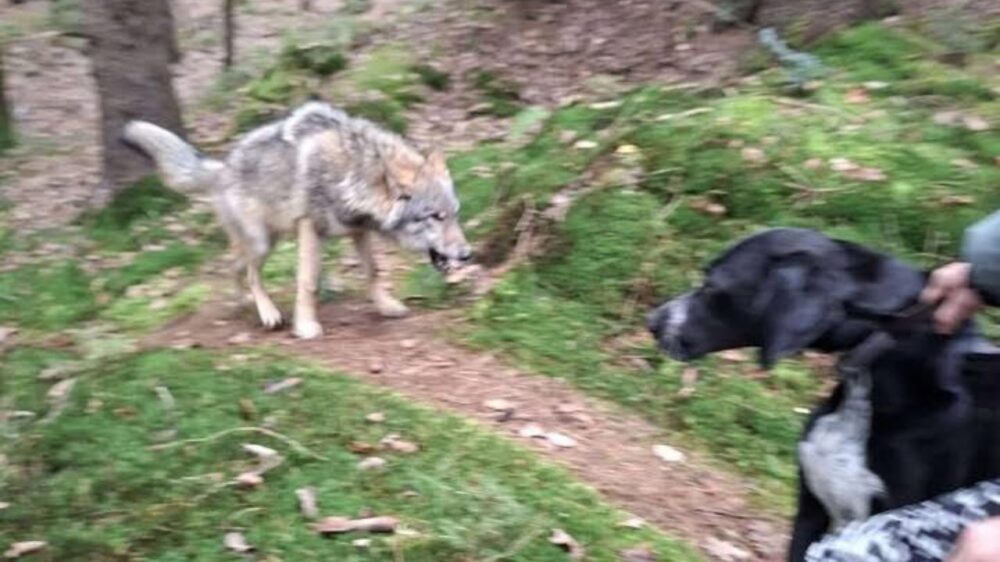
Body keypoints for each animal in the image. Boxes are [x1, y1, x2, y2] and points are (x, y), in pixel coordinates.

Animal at [123, 101, 471, 339]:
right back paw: (267, 313)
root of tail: (222, 168)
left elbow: (373, 271)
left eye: (455, 214)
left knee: (233, 266)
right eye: (435, 216)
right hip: (263, 242)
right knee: (250, 271)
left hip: (268, 240)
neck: (353, 172)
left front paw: (386, 306)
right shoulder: (310, 228)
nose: (468, 254)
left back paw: (242, 301)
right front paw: (305, 326)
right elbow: (308, 281)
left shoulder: (357, 230)